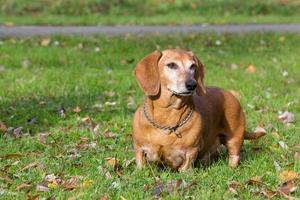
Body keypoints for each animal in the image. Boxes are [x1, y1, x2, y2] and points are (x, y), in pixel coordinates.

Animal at [132, 49, 264, 171]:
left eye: (192, 66)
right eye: (171, 65)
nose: (192, 84)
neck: (167, 116)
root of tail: (230, 94)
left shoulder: (191, 151)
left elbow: (185, 167)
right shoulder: (139, 148)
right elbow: (141, 164)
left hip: (235, 137)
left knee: (234, 155)